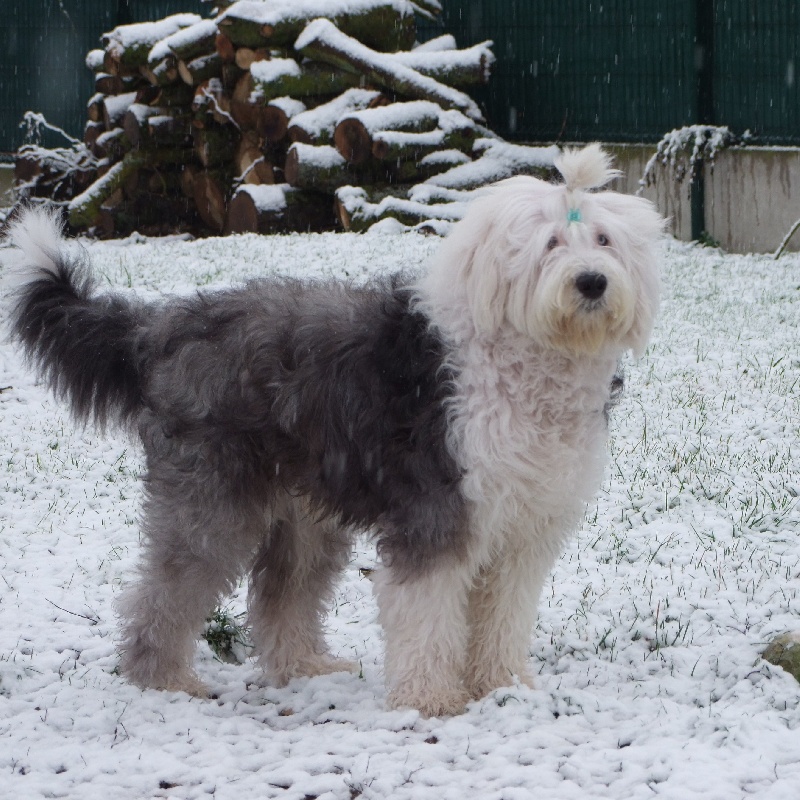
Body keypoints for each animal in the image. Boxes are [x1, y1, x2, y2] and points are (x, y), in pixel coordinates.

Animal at [1, 144, 664, 720]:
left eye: (603, 240)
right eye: (552, 242)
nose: (592, 282)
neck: (520, 359)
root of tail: (162, 328)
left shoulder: (523, 530)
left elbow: (504, 613)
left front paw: (503, 686)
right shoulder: (437, 515)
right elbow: (427, 612)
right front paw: (430, 700)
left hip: (303, 513)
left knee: (280, 594)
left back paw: (307, 667)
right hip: (212, 498)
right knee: (165, 590)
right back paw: (164, 679)